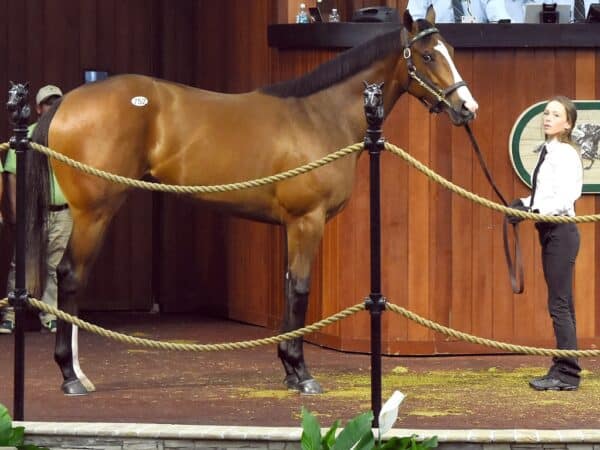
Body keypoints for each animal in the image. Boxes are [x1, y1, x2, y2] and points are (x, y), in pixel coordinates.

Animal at [22, 9, 478, 394]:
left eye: (453, 52)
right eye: (427, 55)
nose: (467, 107)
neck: (319, 116)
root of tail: (67, 102)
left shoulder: (290, 225)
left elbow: (288, 287)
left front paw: (290, 370)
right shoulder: (307, 220)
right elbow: (301, 290)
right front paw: (302, 374)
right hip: (94, 213)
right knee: (70, 277)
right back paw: (71, 376)